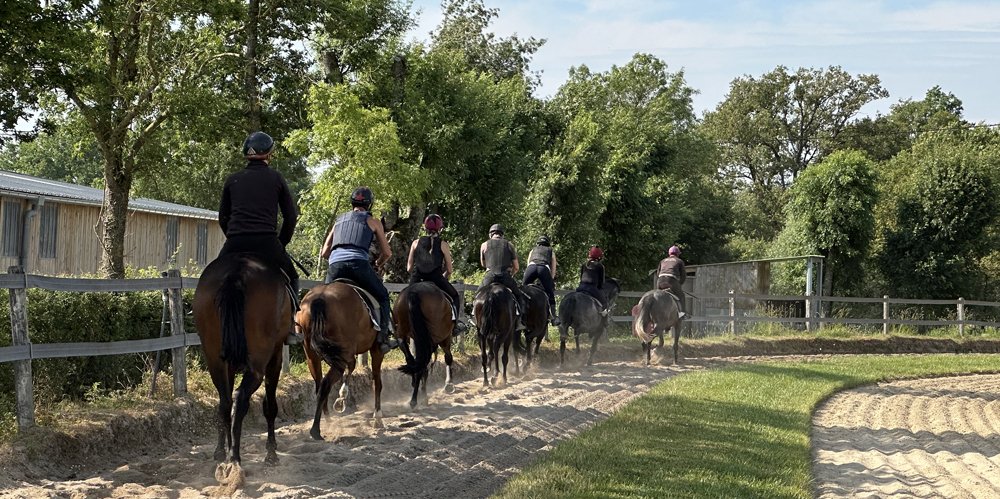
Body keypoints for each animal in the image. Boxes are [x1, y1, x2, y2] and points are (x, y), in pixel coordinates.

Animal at [193, 253, 291, 469]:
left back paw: (228, 455)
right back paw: (235, 457)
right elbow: (270, 405)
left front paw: (220, 450)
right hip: (259, 363)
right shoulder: (275, 357)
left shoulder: (227, 366)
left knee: (225, 402)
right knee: (240, 398)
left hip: (215, 361)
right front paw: (271, 452)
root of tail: (236, 272)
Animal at [296, 281, 386, 439]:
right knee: (325, 384)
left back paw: (327, 420)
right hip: (339, 357)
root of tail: (320, 298)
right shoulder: (376, 349)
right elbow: (377, 383)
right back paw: (316, 429)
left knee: (320, 385)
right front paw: (378, 417)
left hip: (312, 355)